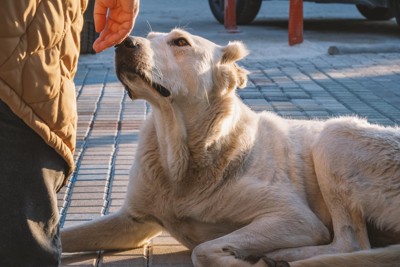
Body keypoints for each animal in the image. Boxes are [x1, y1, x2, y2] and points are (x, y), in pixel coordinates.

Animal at [61, 29, 398, 267]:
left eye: (180, 42)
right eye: (150, 36)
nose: (122, 43)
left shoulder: (295, 218)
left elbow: (202, 250)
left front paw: (244, 261)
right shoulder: (133, 222)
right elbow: (64, 236)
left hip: (333, 135)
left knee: (351, 244)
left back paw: (283, 257)